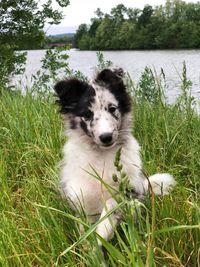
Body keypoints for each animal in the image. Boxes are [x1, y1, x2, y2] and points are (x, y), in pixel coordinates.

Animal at [54, 69, 176, 245]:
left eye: (112, 108)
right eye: (87, 114)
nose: (106, 137)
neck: (103, 156)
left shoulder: (127, 190)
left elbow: (111, 206)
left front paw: (103, 233)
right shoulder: (81, 193)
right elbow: (85, 225)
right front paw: (88, 244)